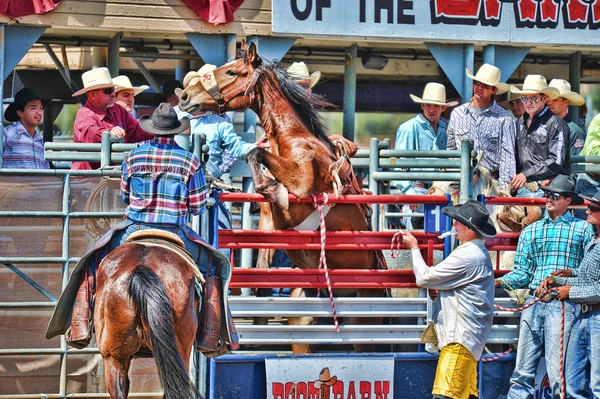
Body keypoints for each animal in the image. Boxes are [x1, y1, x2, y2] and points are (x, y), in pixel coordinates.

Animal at [178, 41, 384, 354]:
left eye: (232, 71)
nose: (185, 95)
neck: (290, 137)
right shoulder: (269, 224)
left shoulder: (302, 182)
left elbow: (256, 154)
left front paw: (275, 188)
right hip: (305, 321)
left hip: (365, 324)